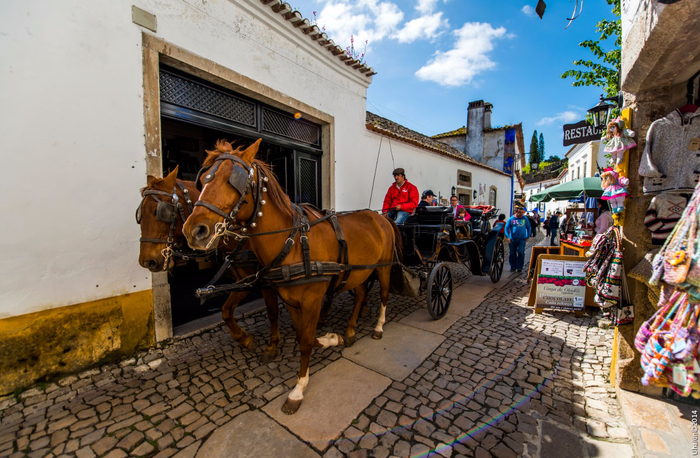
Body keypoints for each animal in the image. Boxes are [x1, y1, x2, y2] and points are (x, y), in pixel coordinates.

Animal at [135, 166, 280, 364]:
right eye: (139, 215)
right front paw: (245, 339)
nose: (147, 261)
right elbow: (226, 311)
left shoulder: (265, 280)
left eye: (160, 212)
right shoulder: (244, 280)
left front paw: (273, 346)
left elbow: (272, 311)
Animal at [182, 140, 400, 416]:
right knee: (361, 294)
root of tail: (380, 216)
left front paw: (298, 389)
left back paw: (379, 326)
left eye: (233, 179)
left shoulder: (312, 300)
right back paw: (350, 330)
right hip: (356, 272)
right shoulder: (291, 299)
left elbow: (305, 341)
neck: (293, 242)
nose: (193, 231)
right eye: (202, 180)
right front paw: (331, 338)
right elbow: (301, 335)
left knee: (383, 294)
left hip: (383, 267)